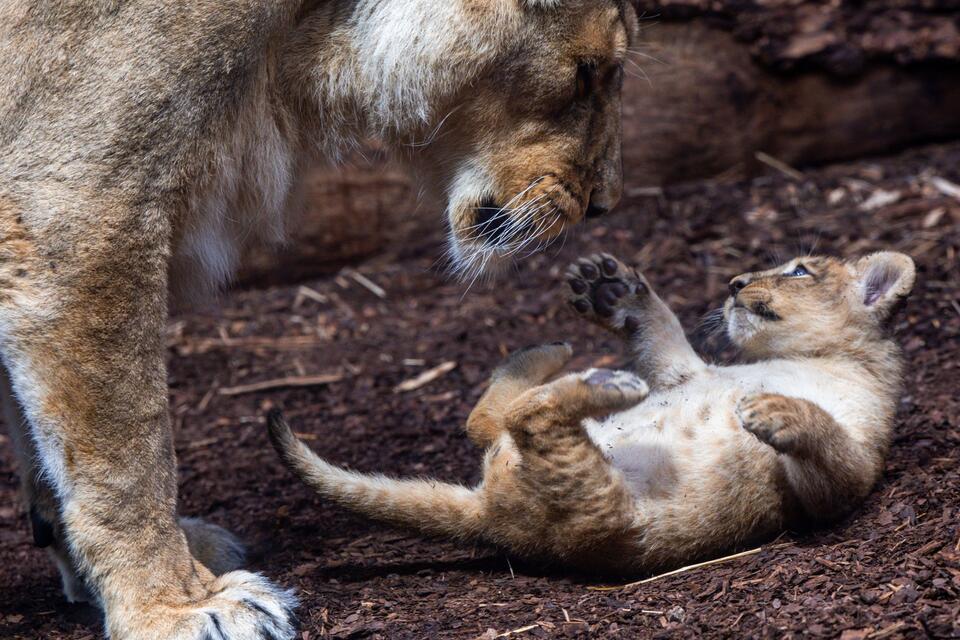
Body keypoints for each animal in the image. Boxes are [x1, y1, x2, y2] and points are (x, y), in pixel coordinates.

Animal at [0, 1, 638, 638]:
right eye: (586, 73)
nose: (603, 203)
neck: (297, 37)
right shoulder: (85, 208)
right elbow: (128, 454)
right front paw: (178, 606)